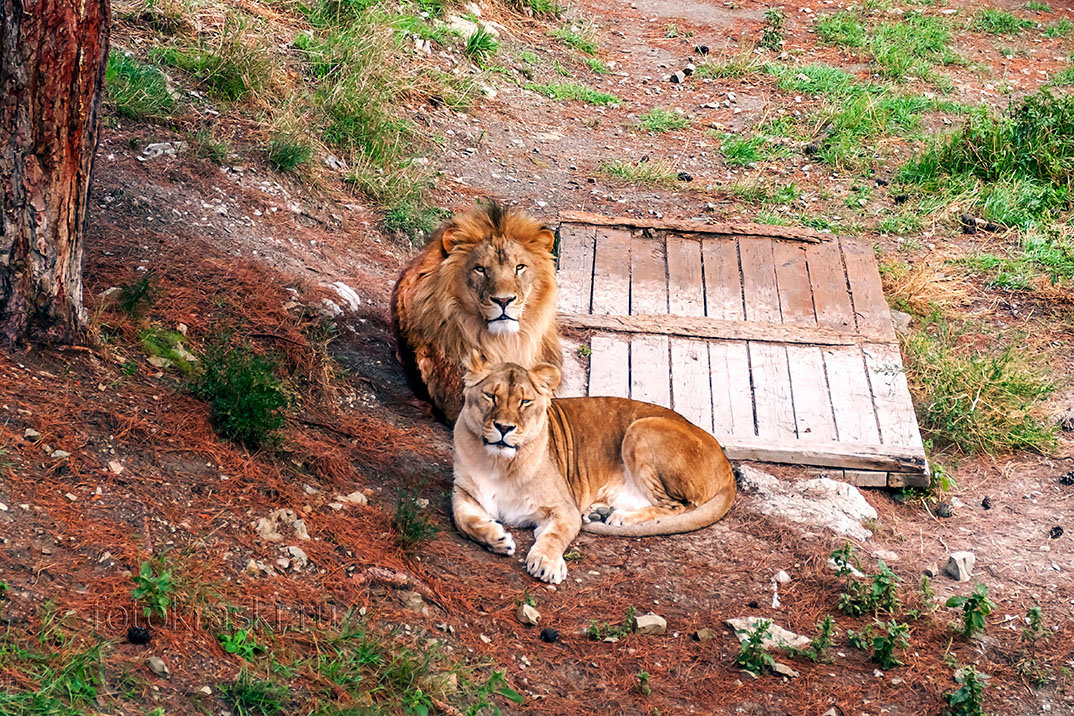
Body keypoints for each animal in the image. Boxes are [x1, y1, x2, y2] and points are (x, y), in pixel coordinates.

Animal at [453, 356, 738, 583]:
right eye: (491, 396)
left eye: (524, 402)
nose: (504, 428)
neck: (499, 464)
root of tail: (727, 466)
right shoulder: (463, 492)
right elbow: (463, 520)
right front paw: (496, 539)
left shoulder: (564, 509)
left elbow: (554, 536)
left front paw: (546, 563)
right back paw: (600, 512)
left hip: (640, 429)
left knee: (678, 506)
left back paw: (620, 518)